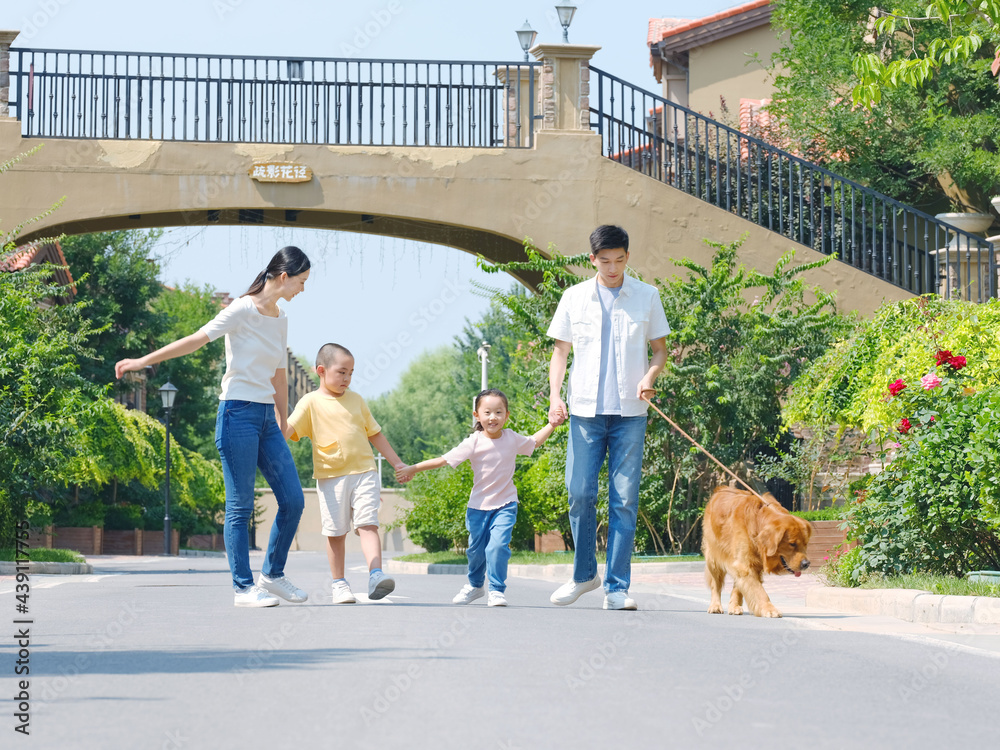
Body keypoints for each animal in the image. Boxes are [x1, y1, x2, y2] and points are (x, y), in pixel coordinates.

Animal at [704, 484, 812, 620]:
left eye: (805, 543)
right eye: (792, 544)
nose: (806, 564)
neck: (757, 522)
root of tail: (720, 489)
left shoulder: (750, 565)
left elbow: (746, 586)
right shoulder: (744, 565)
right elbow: (759, 591)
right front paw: (770, 609)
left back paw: (734, 606)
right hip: (713, 558)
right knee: (716, 585)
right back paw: (715, 606)